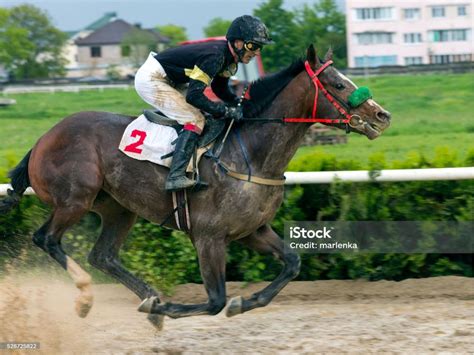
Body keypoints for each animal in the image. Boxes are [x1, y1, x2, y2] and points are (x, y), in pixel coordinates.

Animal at [0, 46, 388, 330]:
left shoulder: (252, 230)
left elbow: (292, 263)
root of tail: (44, 138)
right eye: (339, 85)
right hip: (75, 199)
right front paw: (172, 307)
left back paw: (150, 299)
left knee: (103, 255)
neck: (250, 155)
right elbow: (215, 300)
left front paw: (243, 302)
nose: (382, 116)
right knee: (47, 239)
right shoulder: (208, 236)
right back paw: (87, 297)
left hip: (118, 208)